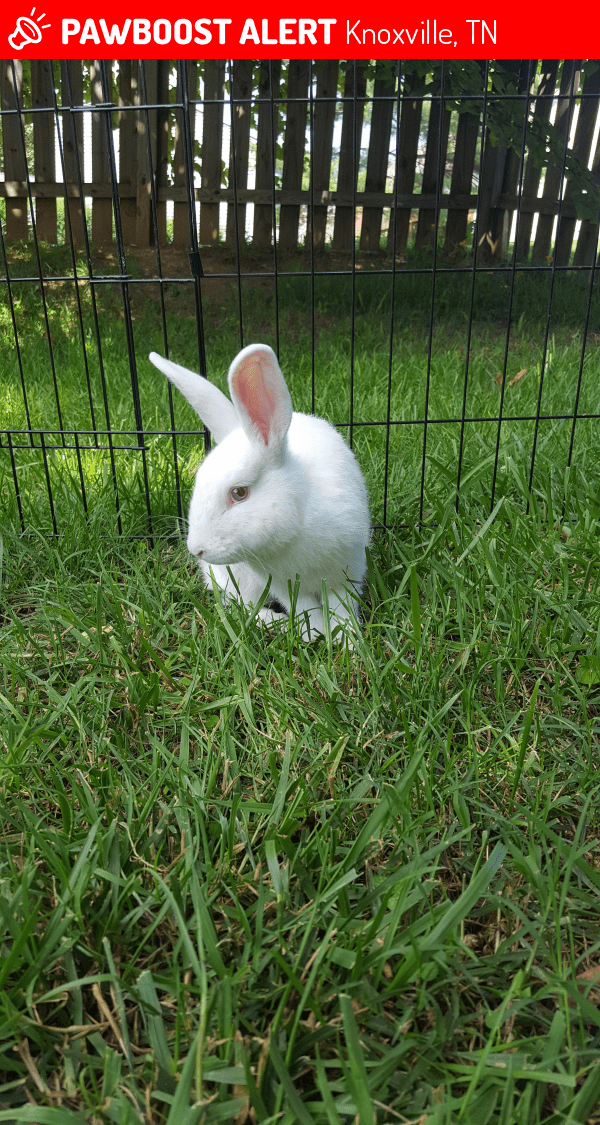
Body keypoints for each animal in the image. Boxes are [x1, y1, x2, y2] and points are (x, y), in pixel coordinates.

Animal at [149, 344, 370, 641]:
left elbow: (342, 606)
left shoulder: (348, 569)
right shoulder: (280, 583)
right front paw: (314, 633)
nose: (196, 549)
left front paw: (346, 640)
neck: (298, 520)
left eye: (239, 493)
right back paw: (274, 621)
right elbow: (304, 608)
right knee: (244, 606)